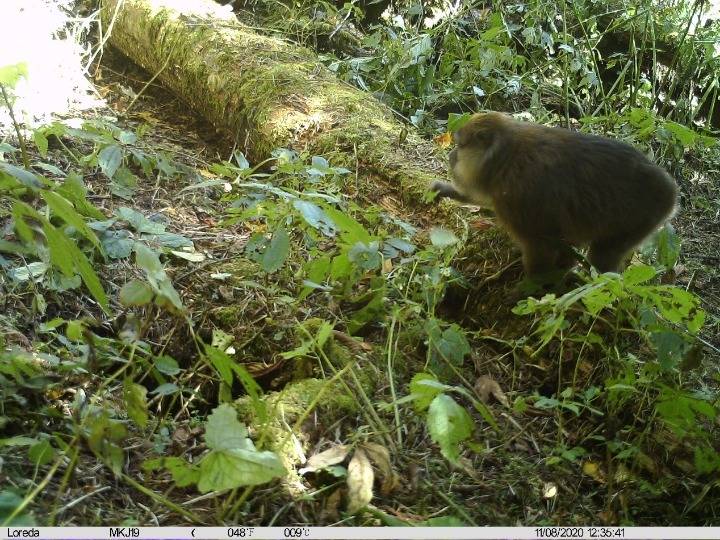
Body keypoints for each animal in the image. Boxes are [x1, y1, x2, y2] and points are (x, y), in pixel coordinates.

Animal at [430, 113, 676, 282]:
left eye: (460, 146)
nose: (452, 155)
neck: (504, 157)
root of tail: (669, 190)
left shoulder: (517, 197)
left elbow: (540, 248)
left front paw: (529, 289)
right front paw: (446, 190)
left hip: (643, 218)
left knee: (603, 254)